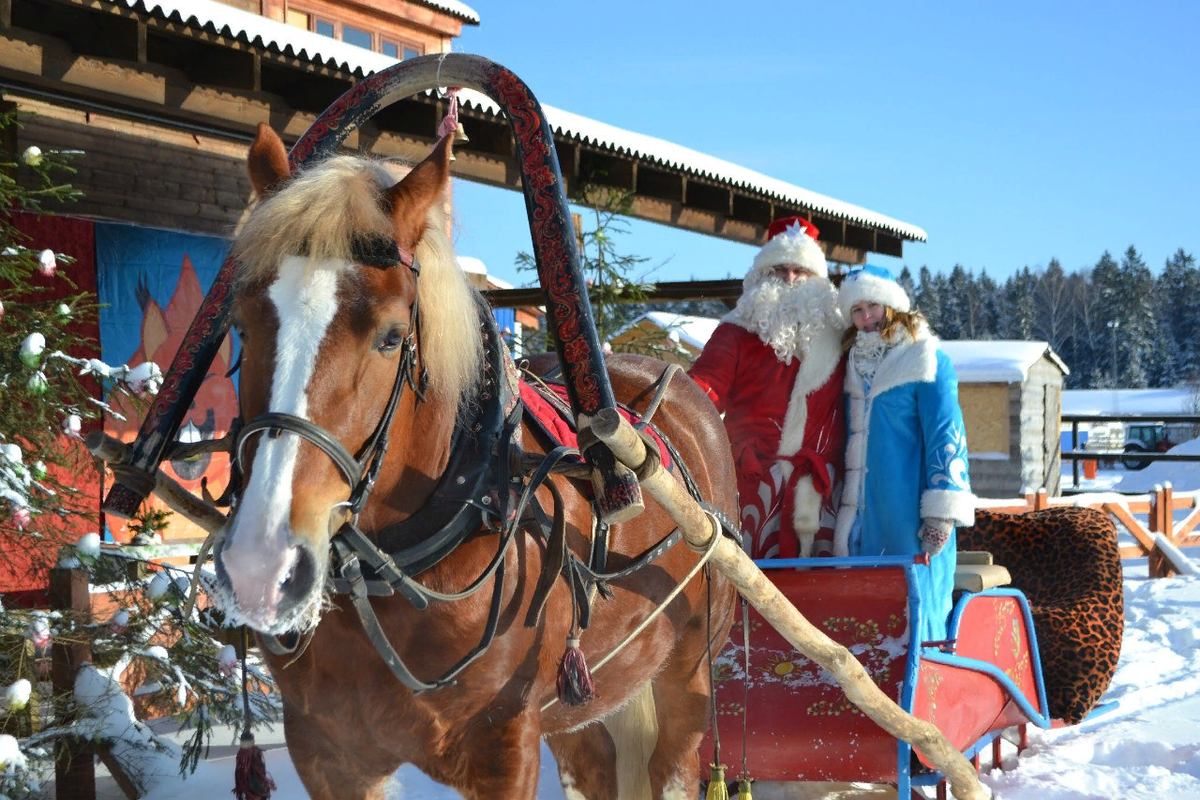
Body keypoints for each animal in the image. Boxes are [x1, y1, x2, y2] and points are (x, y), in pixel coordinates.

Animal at [212, 123, 739, 800]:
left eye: (390, 337)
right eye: (242, 325)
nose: (262, 565)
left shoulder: (504, 746)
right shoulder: (325, 750)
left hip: (687, 676)